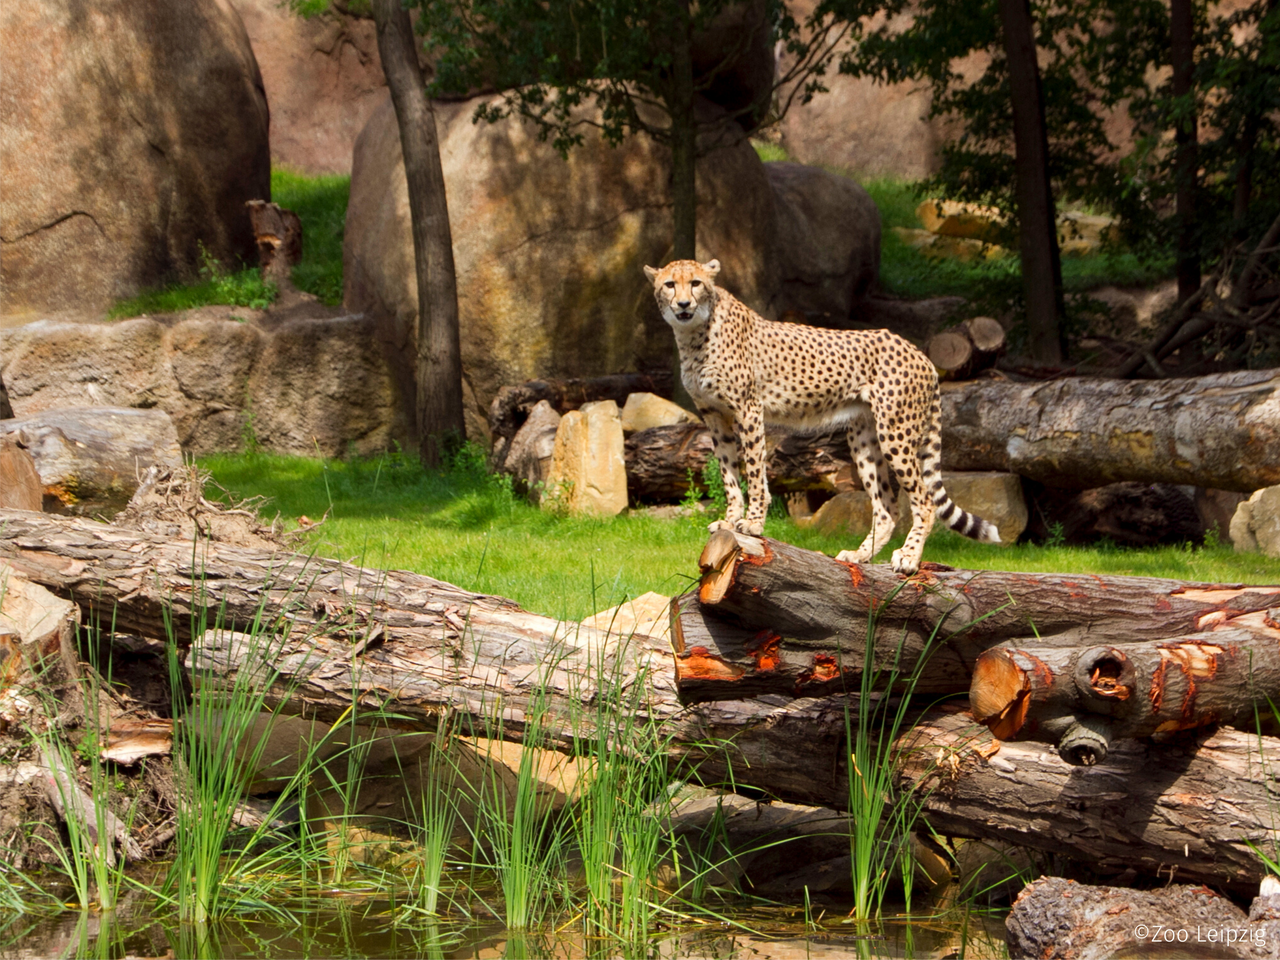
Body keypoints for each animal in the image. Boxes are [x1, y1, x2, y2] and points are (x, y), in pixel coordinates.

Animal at [640, 256, 998, 576]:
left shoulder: (748, 408)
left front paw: (752, 523)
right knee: (887, 506)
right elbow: (729, 473)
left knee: (923, 500)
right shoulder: (715, 416)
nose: (683, 304)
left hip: (894, 432)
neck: (695, 334)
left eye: (695, 283)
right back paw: (859, 556)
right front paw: (730, 520)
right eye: (670, 284)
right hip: (864, 438)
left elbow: (753, 471)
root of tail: (920, 352)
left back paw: (908, 558)